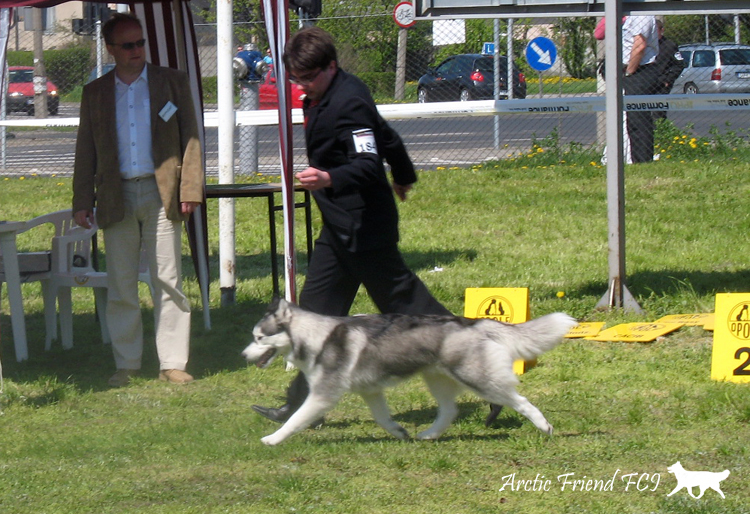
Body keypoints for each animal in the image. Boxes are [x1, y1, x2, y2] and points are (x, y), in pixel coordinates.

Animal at [242, 298, 577, 446]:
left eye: (259, 338)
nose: (243, 355)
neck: (316, 336)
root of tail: (470, 322)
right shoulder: (370, 390)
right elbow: (382, 418)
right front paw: (398, 432)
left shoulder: (323, 395)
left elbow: (296, 420)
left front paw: (273, 439)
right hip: (437, 378)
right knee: (450, 411)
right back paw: (429, 434)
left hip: (477, 378)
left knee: (520, 400)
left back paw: (544, 426)